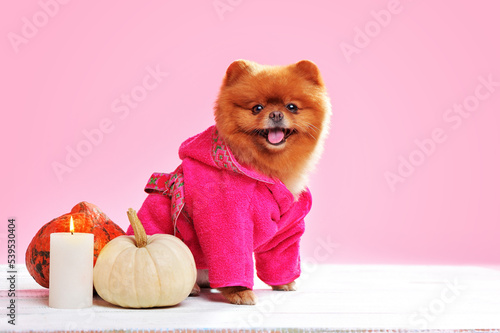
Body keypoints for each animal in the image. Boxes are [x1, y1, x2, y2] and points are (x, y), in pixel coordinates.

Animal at [131, 59, 330, 304]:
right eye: (257, 108)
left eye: (292, 107)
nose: (275, 114)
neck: (265, 168)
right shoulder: (228, 217)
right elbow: (232, 256)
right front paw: (239, 292)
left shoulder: (288, 226)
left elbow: (281, 255)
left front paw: (283, 283)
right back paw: (193, 287)